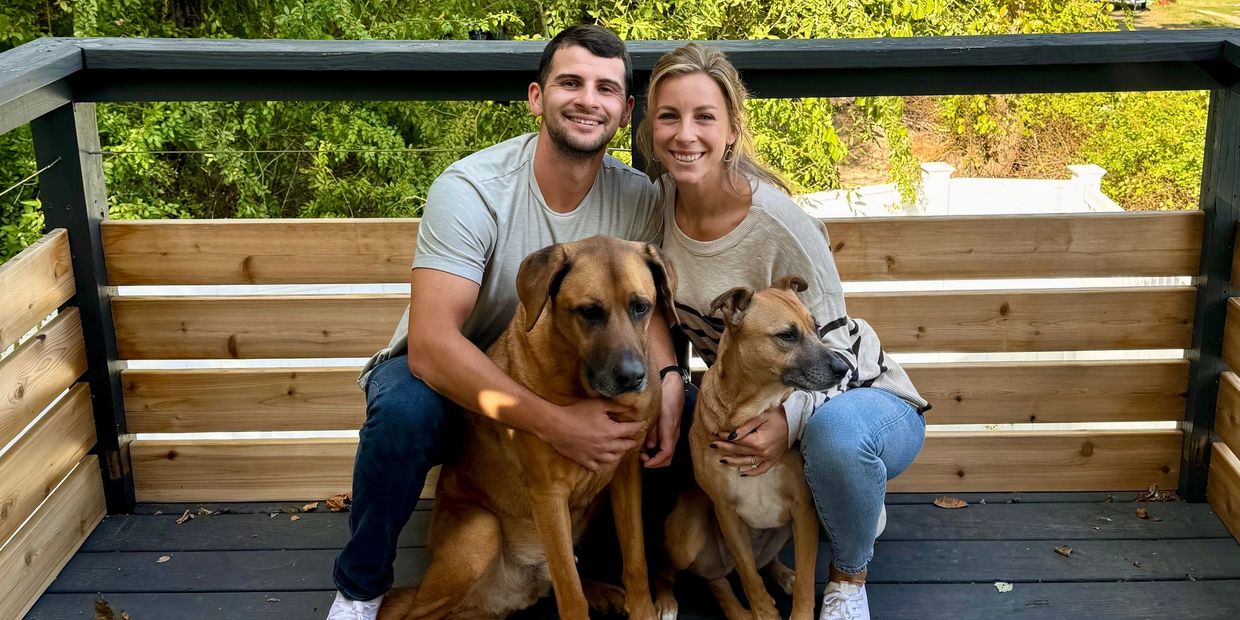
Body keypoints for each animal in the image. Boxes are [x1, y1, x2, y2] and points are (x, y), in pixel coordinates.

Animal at [654, 276, 850, 620]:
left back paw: (784, 575)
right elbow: (749, 578)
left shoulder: (803, 511)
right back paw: (667, 602)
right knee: (702, 577)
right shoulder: (727, 513)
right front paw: (763, 613)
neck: (753, 409)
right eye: (787, 335)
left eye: (816, 328)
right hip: (686, 536)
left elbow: (804, 578)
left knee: (751, 568)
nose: (843, 368)